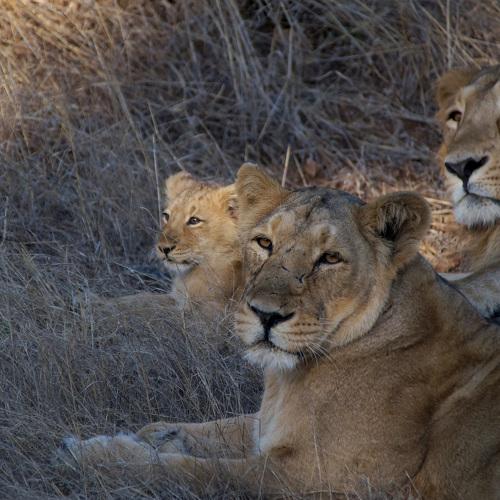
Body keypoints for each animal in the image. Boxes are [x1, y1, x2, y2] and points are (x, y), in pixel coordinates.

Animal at [58, 165, 500, 498]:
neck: (291, 377)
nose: (265, 315)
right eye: (264, 242)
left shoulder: (319, 480)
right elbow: (188, 431)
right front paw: (130, 441)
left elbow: (196, 471)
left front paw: (93, 459)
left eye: (330, 258)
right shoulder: (265, 428)